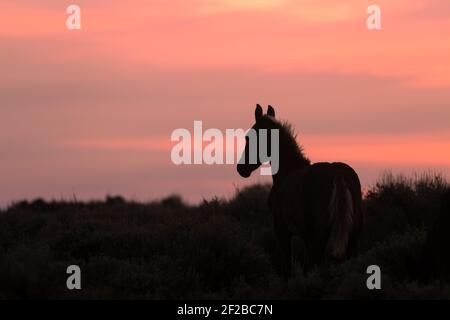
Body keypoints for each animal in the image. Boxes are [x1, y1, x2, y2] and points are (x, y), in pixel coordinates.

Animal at [237, 104, 364, 278]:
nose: (241, 169)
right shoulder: (304, 237)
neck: (287, 171)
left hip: (318, 238)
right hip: (350, 239)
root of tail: (336, 173)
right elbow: (304, 268)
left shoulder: (283, 231)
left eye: (249, 137)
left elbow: (288, 269)